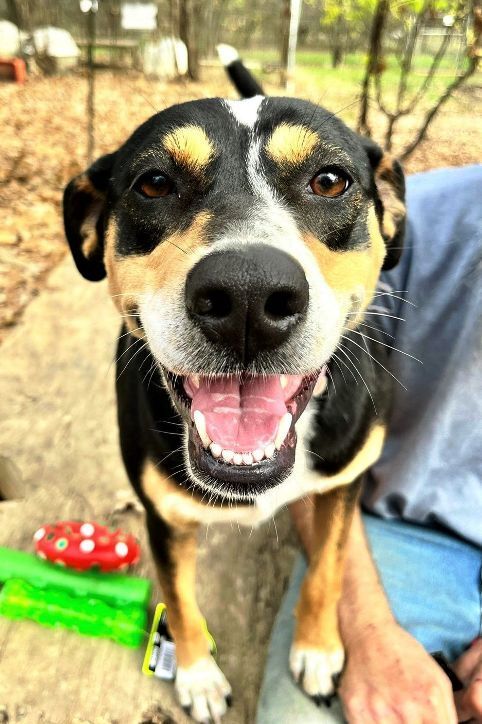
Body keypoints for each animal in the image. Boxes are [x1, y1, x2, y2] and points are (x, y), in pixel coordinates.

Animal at [62, 51, 404, 724]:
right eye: (154, 183)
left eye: (330, 181)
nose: (248, 294)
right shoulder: (163, 516)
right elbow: (179, 599)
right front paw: (196, 676)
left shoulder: (345, 484)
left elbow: (328, 569)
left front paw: (318, 650)